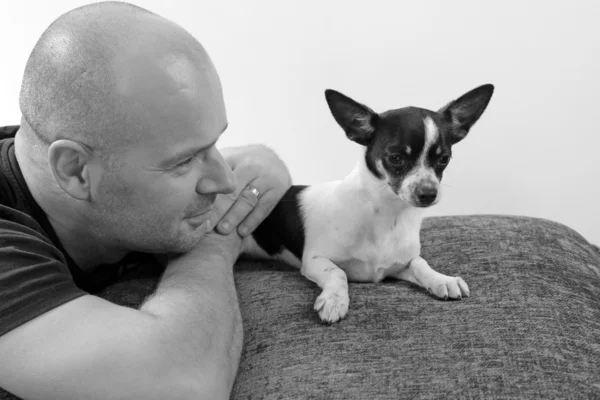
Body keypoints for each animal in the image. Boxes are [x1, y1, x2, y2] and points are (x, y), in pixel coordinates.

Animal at [241, 83, 494, 322]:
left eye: (444, 159)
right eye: (396, 158)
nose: (429, 193)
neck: (388, 214)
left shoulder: (400, 265)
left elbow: (420, 263)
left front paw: (442, 279)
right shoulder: (314, 260)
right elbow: (338, 273)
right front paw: (334, 300)